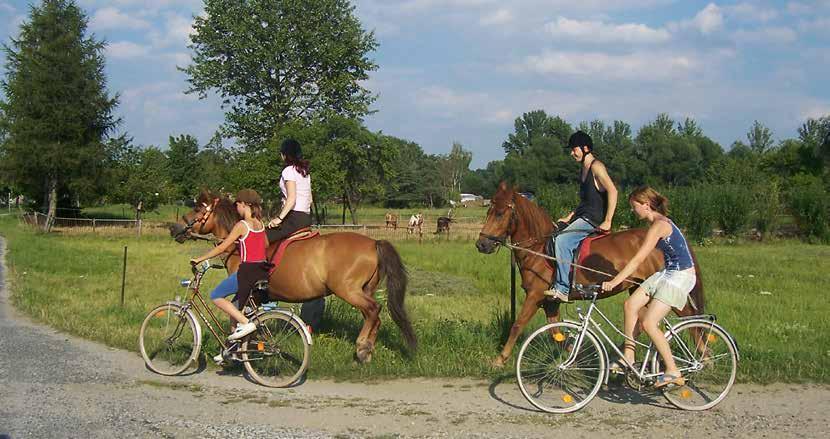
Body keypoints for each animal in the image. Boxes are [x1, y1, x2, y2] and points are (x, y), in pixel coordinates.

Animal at [171, 191, 416, 362]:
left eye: (197, 208)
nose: (174, 228)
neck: (238, 244)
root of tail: (374, 242)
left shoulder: (244, 291)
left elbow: (240, 318)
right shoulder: (254, 296)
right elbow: (247, 319)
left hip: (349, 290)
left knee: (374, 310)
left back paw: (362, 347)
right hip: (364, 290)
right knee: (374, 316)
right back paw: (368, 348)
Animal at [478, 181, 704, 368]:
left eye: (500, 213)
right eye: (488, 210)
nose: (481, 244)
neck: (540, 249)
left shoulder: (535, 296)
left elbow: (517, 325)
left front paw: (500, 359)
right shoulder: (550, 302)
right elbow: (555, 332)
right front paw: (576, 354)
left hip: (666, 289)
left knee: (688, 317)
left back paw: (701, 355)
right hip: (638, 288)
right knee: (641, 322)